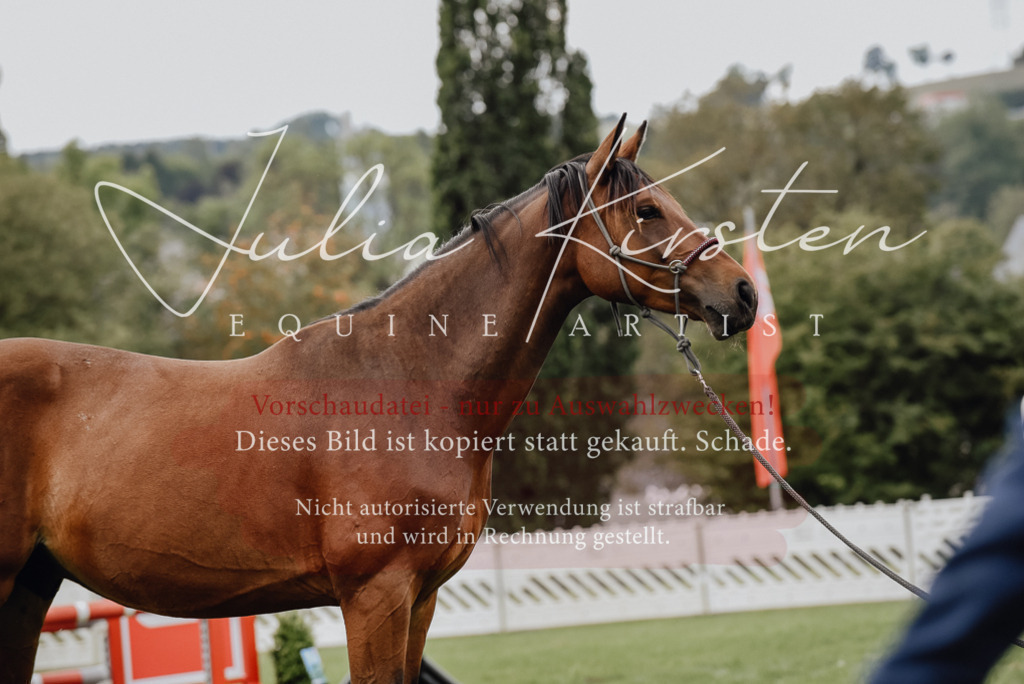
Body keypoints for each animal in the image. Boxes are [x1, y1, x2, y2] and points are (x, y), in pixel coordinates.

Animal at [0, 116, 756, 683]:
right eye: (647, 209)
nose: (743, 292)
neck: (410, 384)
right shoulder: (375, 596)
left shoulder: (420, 598)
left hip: (31, 588)